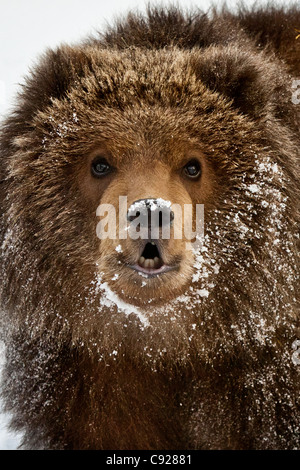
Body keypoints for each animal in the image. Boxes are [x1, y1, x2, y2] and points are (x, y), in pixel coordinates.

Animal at [0, 5, 298, 450]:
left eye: (193, 165)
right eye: (100, 163)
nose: (150, 212)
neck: (160, 348)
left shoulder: (264, 387)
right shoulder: (89, 389)